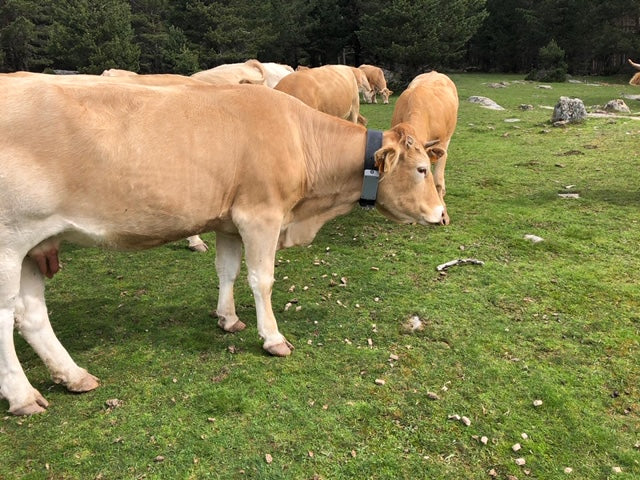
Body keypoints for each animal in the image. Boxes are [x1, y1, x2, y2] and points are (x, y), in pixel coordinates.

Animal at [0, 77, 448, 414]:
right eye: (421, 170)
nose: (442, 215)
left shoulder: (230, 222)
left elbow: (227, 270)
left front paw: (228, 318)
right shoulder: (260, 216)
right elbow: (261, 280)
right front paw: (273, 338)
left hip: (35, 245)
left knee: (31, 315)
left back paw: (73, 376)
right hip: (8, 244)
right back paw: (22, 396)